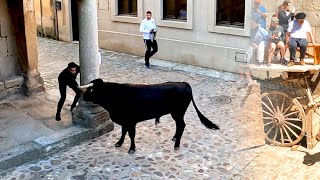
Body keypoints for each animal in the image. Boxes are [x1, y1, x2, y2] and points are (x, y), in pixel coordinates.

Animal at [81, 79, 219, 153]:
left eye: (91, 90)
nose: (83, 96)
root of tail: (183, 83)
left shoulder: (131, 121)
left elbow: (131, 135)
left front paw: (132, 149)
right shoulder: (125, 121)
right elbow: (123, 132)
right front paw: (119, 143)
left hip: (178, 112)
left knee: (182, 125)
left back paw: (177, 144)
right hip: (176, 113)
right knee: (179, 126)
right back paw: (175, 138)